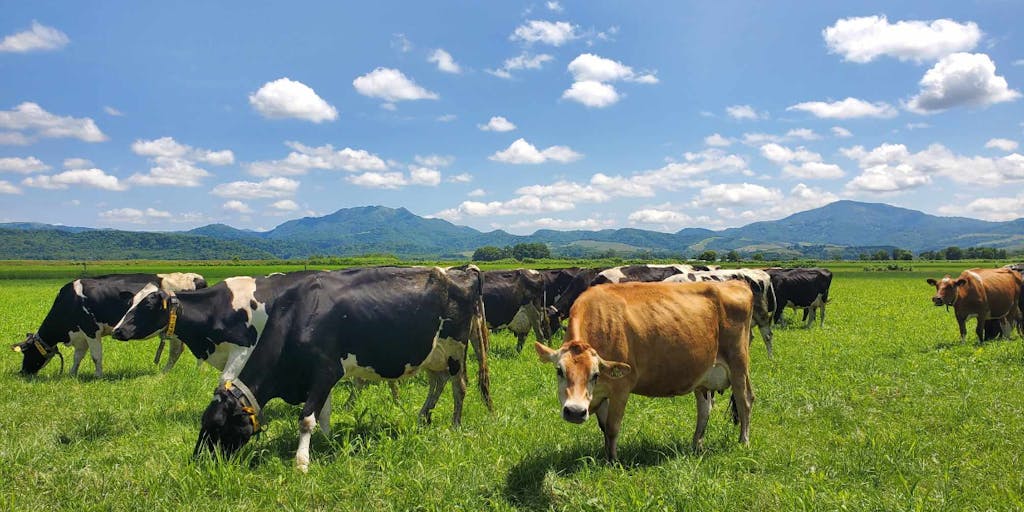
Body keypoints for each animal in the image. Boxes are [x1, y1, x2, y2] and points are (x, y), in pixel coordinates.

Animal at [11, 272, 206, 377]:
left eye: (27, 352)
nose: (23, 372)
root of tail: (194, 277)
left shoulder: (91, 330)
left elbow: (95, 356)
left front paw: (98, 376)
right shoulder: (80, 335)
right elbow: (78, 356)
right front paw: (72, 374)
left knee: (177, 350)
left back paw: (173, 372)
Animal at [192, 265, 491, 473]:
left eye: (217, 425)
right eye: (202, 423)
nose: (198, 460)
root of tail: (462, 272)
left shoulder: (325, 371)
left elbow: (306, 418)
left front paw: (302, 462)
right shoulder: (317, 378)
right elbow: (323, 414)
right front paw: (325, 441)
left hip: (455, 348)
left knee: (459, 385)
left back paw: (454, 425)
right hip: (433, 354)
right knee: (437, 382)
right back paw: (422, 417)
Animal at [534, 280, 755, 460]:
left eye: (595, 374)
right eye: (559, 371)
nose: (574, 412)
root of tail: (737, 283)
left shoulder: (621, 388)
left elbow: (613, 428)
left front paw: (612, 461)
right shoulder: (602, 394)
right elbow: (604, 427)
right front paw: (605, 455)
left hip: (738, 365)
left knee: (744, 401)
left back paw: (743, 442)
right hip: (703, 376)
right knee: (704, 409)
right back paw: (696, 445)